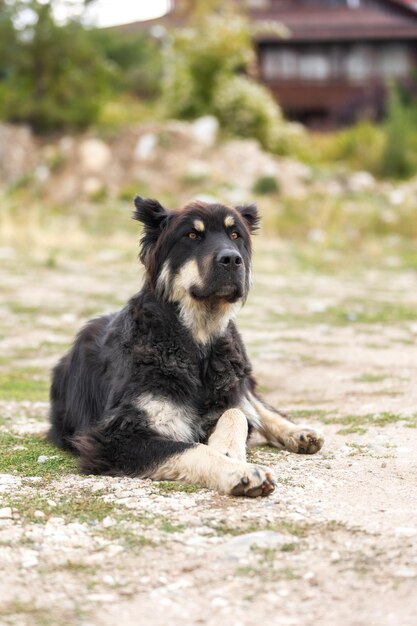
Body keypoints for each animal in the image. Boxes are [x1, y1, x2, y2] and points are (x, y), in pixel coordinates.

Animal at [47, 197, 324, 494]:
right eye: (192, 235)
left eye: (235, 235)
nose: (232, 259)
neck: (198, 342)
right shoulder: (114, 438)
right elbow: (190, 448)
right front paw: (238, 470)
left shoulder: (229, 390)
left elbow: (237, 413)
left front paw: (229, 451)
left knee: (255, 404)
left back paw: (299, 432)